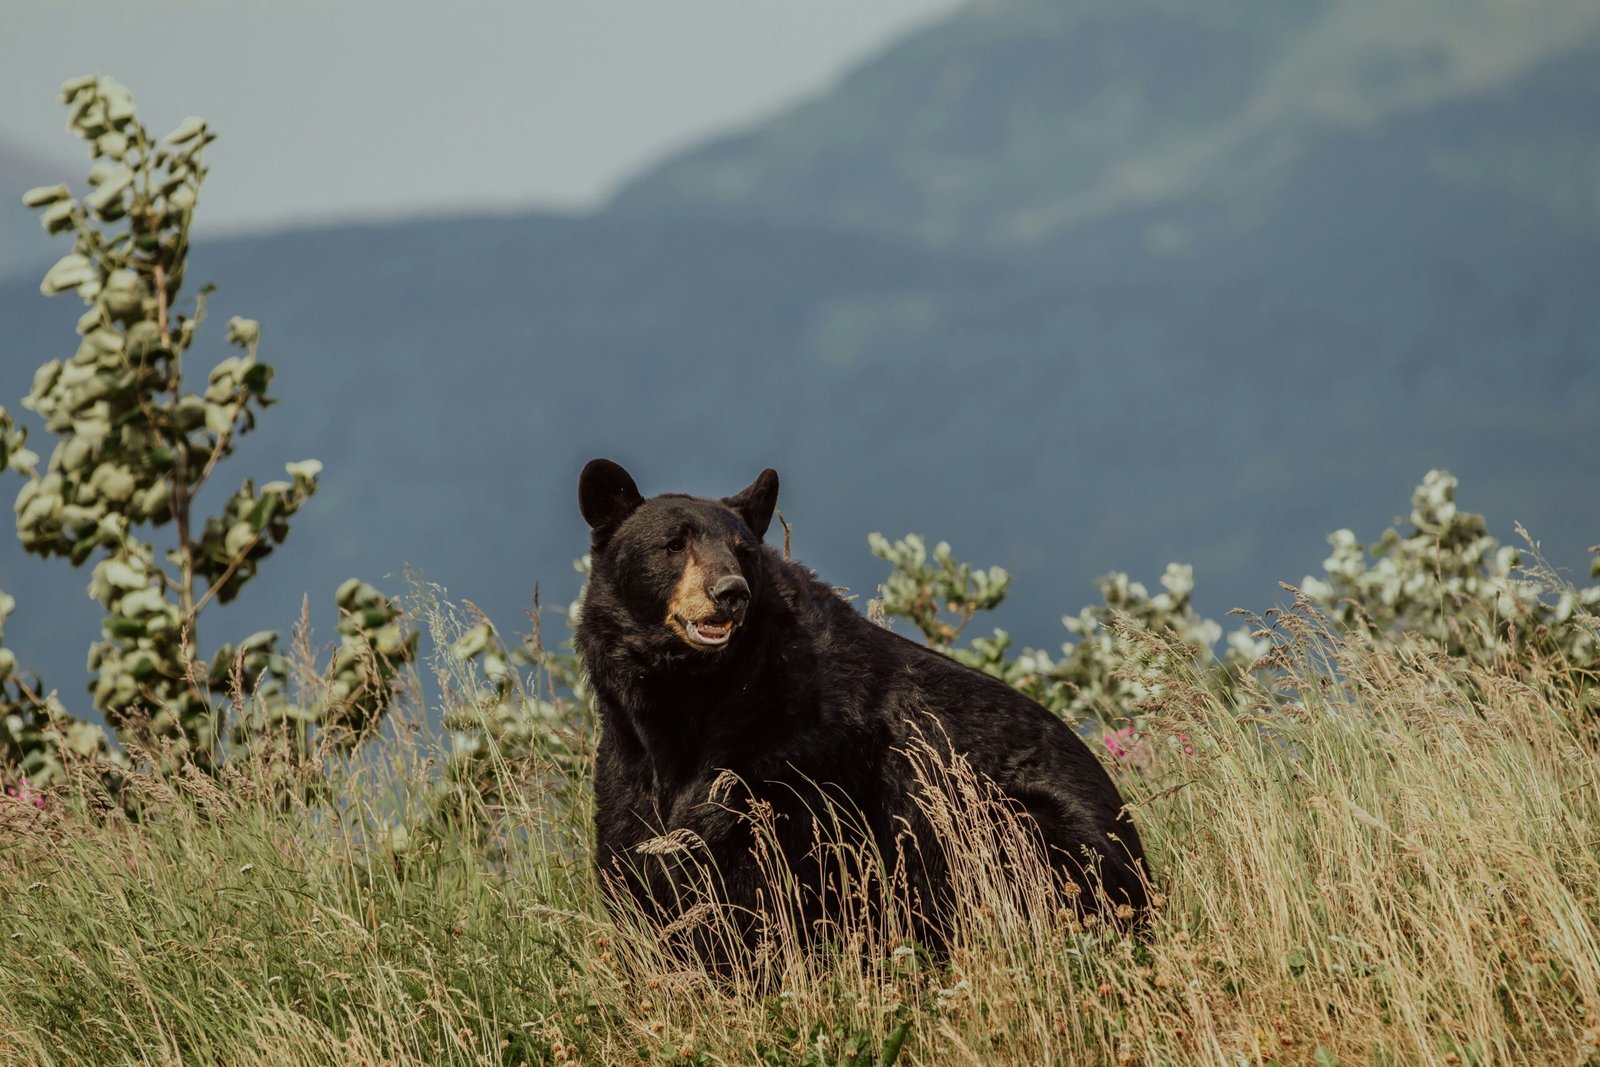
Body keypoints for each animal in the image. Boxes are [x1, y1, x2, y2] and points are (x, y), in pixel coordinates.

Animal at [575, 458, 1148, 964]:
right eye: (674, 544)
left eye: (743, 552)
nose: (730, 592)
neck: (692, 695)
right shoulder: (627, 754)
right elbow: (635, 852)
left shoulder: (797, 754)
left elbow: (762, 870)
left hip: (1019, 824)